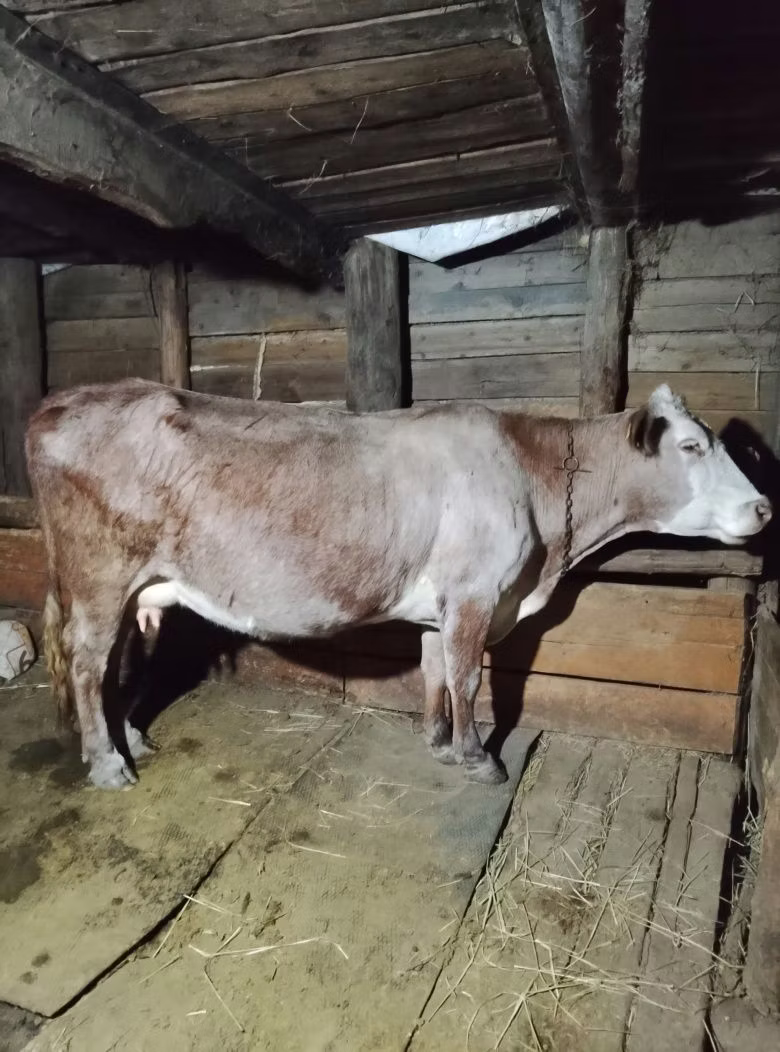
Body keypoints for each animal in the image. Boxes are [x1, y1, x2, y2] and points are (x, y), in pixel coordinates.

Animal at [25, 379, 771, 790]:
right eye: (691, 446)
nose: (764, 507)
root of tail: (59, 403)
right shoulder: (475, 591)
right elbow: (469, 677)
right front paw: (477, 757)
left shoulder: (445, 602)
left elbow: (435, 669)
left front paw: (438, 742)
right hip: (99, 573)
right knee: (88, 662)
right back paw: (108, 764)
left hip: (138, 585)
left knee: (122, 656)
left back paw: (132, 736)